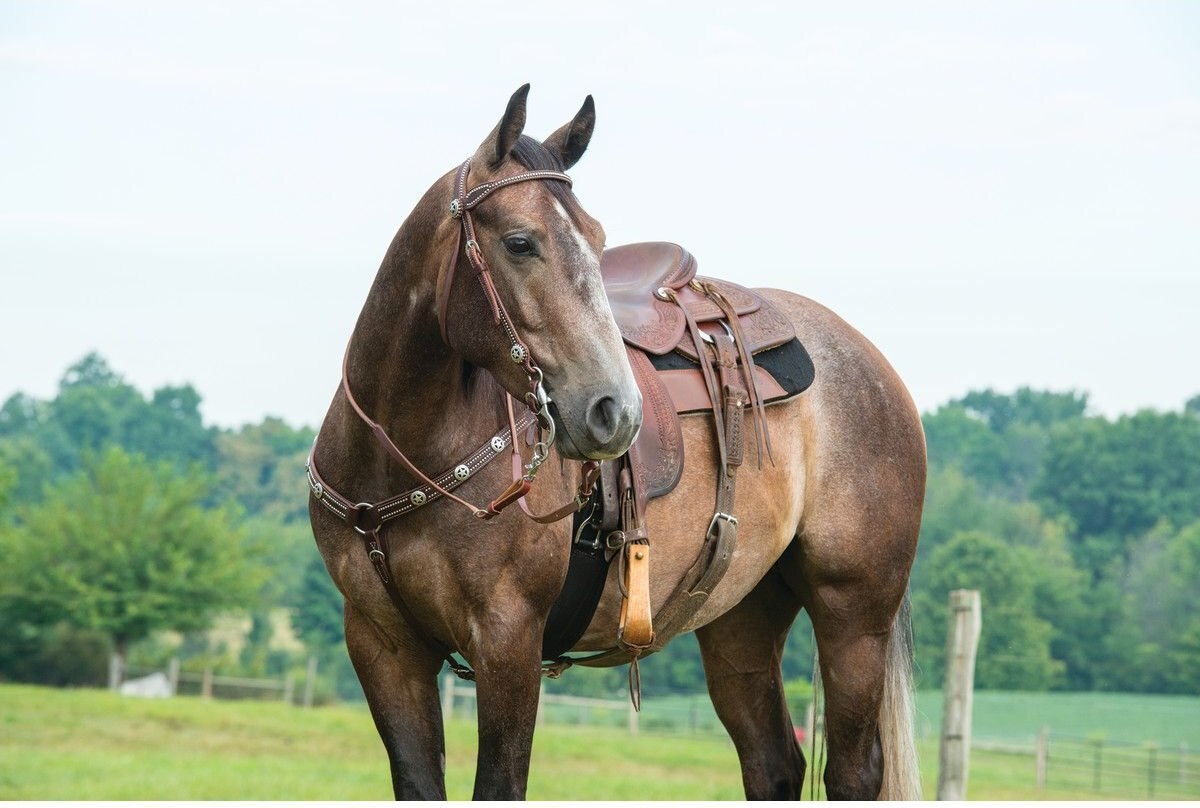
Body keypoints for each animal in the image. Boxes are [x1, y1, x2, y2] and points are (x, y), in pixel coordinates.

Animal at [309, 85, 926, 797]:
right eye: (519, 242)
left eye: (599, 239)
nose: (616, 411)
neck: (401, 458)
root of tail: (873, 364)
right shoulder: (383, 645)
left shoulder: (508, 640)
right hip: (739, 619)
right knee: (773, 761)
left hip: (854, 615)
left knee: (853, 769)